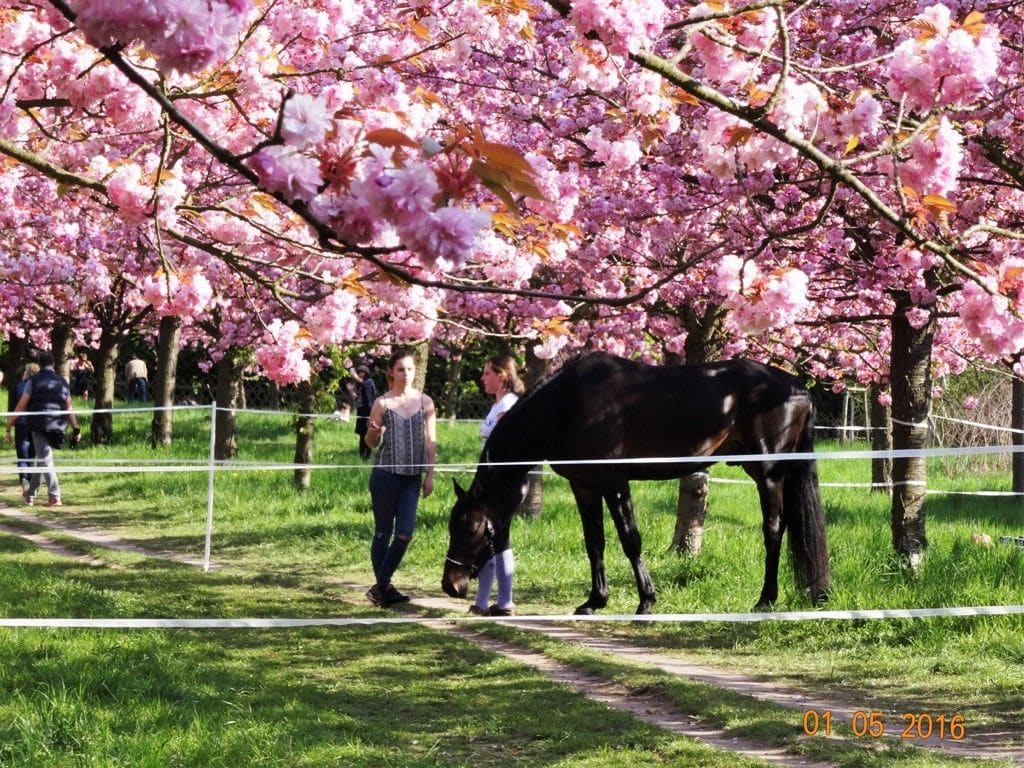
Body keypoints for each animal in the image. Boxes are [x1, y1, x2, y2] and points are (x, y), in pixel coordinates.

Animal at [440, 354, 831, 614]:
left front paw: (646, 601)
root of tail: (798, 389)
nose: (451, 584)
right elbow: (594, 543)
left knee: (773, 530)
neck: (567, 404)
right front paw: (594, 601)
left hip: (768, 474)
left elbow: (630, 539)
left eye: (472, 527)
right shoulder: (584, 487)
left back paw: (765, 600)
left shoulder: (614, 480)